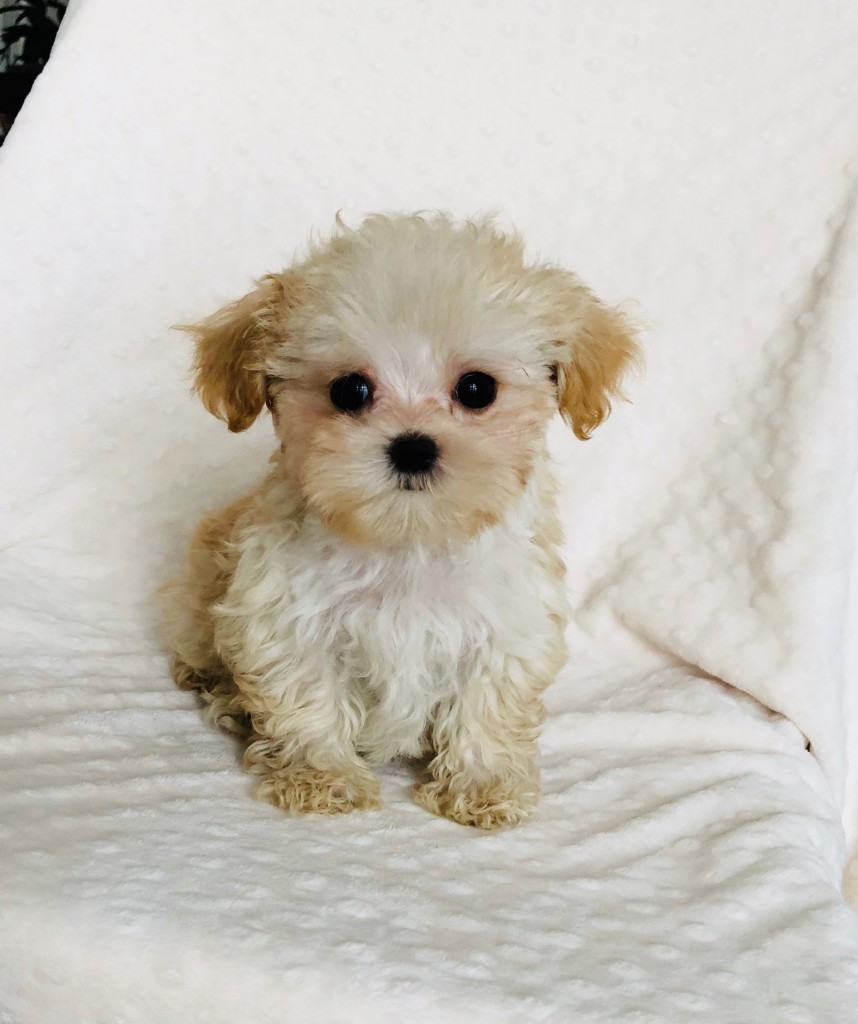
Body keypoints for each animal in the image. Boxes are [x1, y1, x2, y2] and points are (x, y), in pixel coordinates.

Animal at [164, 211, 642, 827]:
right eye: (350, 390)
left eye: (477, 388)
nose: (413, 447)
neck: (409, 542)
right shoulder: (283, 618)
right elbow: (306, 700)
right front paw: (323, 778)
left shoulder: (508, 627)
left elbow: (487, 709)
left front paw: (482, 785)